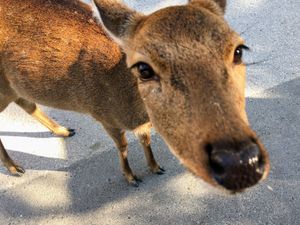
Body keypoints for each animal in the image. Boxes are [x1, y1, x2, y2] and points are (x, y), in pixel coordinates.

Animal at [0, 0, 270, 192]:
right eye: (144, 68)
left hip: (14, 88)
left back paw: (63, 130)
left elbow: (145, 138)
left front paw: (155, 167)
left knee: (27, 102)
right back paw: (15, 168)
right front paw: (132, 177)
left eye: (239, 50)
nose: (240, 163)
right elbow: (123, 145)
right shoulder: (104, 114)